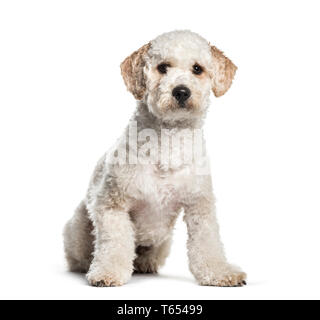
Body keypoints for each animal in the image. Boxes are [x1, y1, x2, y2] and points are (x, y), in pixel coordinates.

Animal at [63, 30, 246, 288]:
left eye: (197, 68)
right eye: (162, 67)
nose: (181, 91)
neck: (168, 141)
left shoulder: (200, 205)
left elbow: (207, 243)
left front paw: (220, 273)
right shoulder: (111, 204)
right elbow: (114, 243)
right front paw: (107, 273)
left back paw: (145, 263)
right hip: (79, 227)